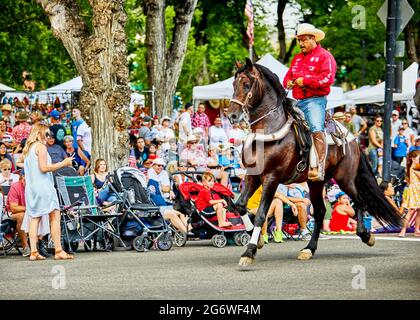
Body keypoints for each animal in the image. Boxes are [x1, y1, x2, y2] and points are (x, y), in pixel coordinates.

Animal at [228, 58, 402, 266]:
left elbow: (261, 214)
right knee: (319, 212)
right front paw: (259, 241)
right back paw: (309, 249)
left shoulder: (272, 177)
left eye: (247, 84)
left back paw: (366, 235)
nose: (231, 115)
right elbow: (240, 205)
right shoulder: (253, 175)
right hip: (316, 183)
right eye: (233, 83)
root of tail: (352, 138)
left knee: (359, 200)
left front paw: (249, 251)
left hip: (344, 179)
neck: (269, 129)